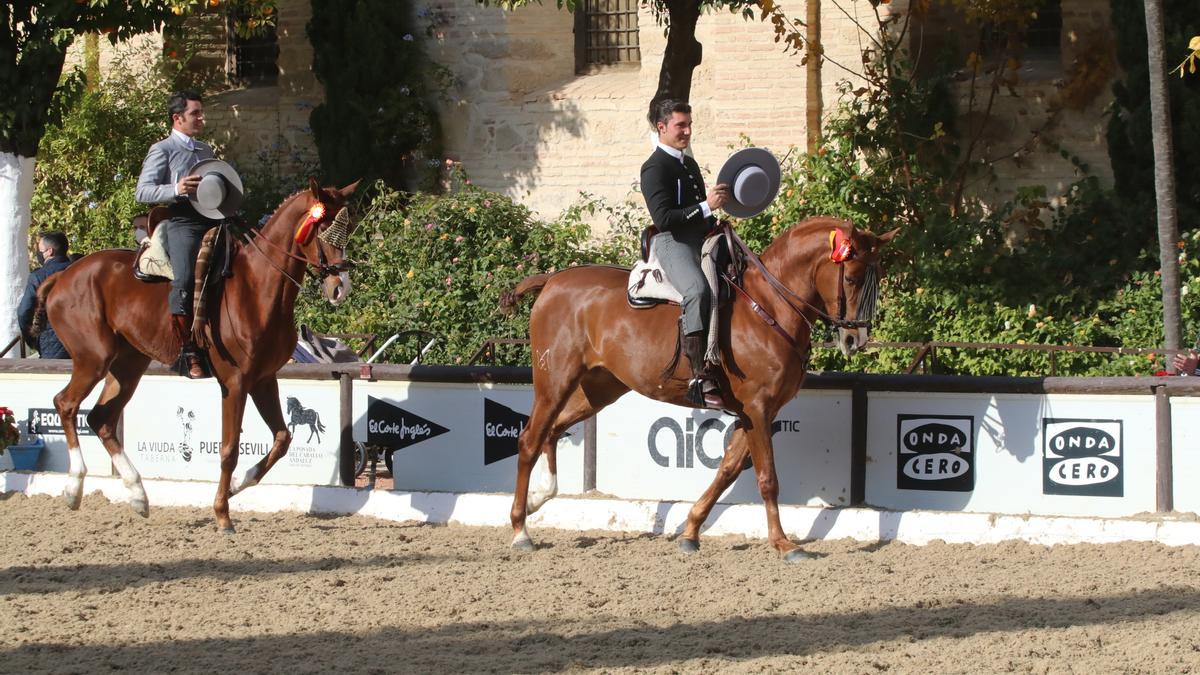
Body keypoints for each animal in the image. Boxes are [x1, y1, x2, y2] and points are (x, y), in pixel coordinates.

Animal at [37, 180, 360, 530]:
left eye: (347, 229)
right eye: (324, 229)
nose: (340, 286)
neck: (257, 287)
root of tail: (63, 276)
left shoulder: (263, 380)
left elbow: (282, 439)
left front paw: (235, 487)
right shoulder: (235, 383)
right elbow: (229, 449)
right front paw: (222, 512)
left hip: (127, 365)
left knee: (100, 419)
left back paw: (138, 495)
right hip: (93, 360)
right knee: (66, 405)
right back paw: (74, 486)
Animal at [499, 214, 902, 557]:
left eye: (878, 276)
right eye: (850, 278)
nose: (855, 339)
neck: (769, 307)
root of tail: (552, 280)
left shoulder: (756, 412)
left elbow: (727, 470)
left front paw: (691, 531)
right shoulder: (758, 408)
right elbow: (767, 478)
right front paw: (783, 544)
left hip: (600, 390)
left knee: (553, 431)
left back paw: (539, 498)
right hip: (555, 381)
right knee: (530, 439)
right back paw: (520, 529)